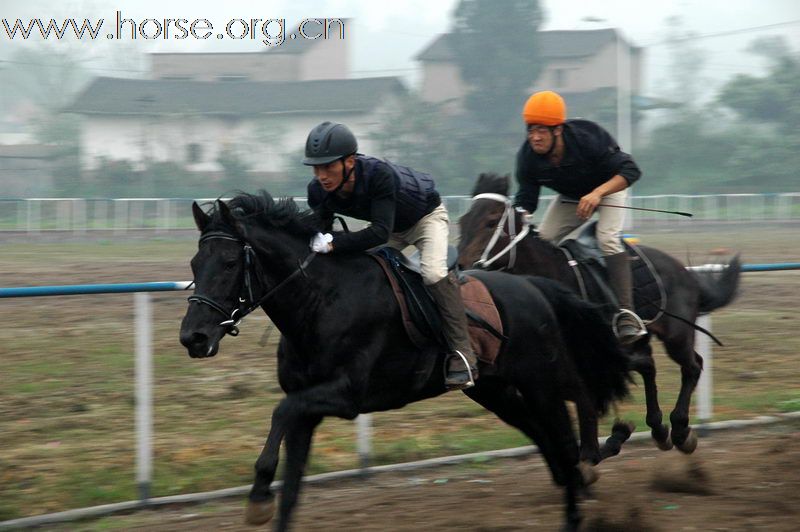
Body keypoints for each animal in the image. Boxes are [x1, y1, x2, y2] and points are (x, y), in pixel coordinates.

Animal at [456, 174, 744, 454]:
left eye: (491, 222)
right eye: (462, 220)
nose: (461, 268)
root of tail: (684, 272)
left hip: (676, 334)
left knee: (692, 366)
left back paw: (681, 430)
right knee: (651, 366)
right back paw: (659, 429)